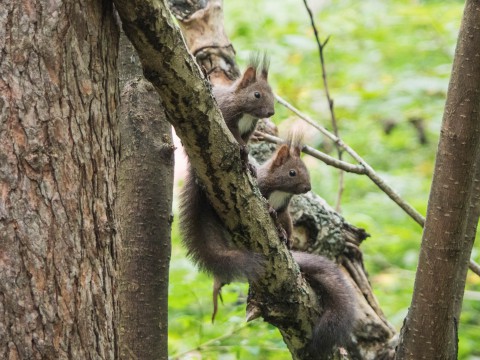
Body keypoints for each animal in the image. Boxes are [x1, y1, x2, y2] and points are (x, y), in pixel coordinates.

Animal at [178, 55, 276, 320]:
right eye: (256, 94)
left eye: (272, 93)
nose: (271, 112)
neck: (246, 113)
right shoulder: (226, 115)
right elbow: (236, 137)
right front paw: (242, 151)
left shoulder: (250, 129)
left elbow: (246, 140)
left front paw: (249, 159)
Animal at [256, 137, 354, 358]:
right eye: (292, 172)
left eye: (307, 169)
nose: (308, 187)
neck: (280, 191)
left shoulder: (284, 209)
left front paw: (285, 235)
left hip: (287, 218)